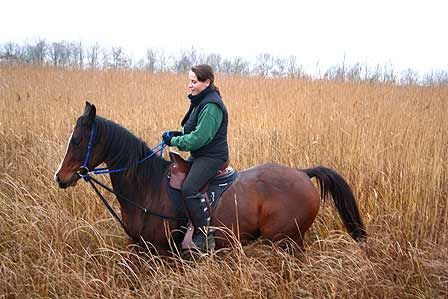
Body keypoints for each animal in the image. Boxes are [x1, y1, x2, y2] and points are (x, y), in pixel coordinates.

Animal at [54, 103, 366, 255]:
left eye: (78, 140)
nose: (60, 177)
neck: (147, 188)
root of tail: (302, 173)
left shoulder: (162, 254)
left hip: (286, 242)